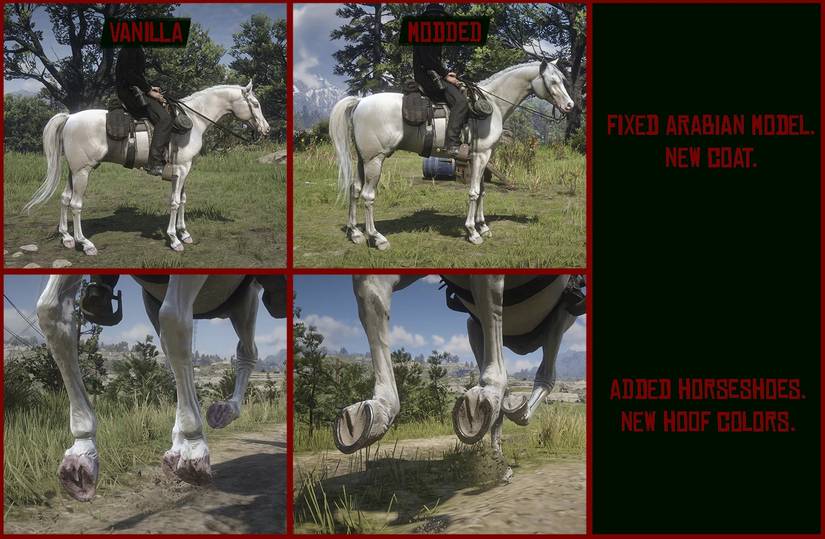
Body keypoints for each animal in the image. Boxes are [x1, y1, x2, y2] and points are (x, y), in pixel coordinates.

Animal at [23, 82, 270, 255]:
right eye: (256, 104)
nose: (266, 130)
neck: (193, 121)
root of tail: (70, 117)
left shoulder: (185, 170)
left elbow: (183, 200)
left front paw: (184, 233)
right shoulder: (181, 169)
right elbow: (174, 202)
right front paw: (174, 239)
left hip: (74, 172)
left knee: (64, 199)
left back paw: (66, 237)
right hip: (83, 172)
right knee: (75, 204)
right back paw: (85, 243)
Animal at [36, 274, 286, 501]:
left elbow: (173, 320)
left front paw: (194, 448)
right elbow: (50, 312)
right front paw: (81, 453)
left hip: (245, 297)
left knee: (246, 350)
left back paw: (225, 411)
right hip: (153, 298)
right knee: (177, 351)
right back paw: (178, 445)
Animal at [329, 60, 575, 250]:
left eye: (562, 79)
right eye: (553, 81)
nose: (570, 106)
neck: (493, 104)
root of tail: (360, 102)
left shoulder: (482, 157)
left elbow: (482, 191)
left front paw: (483, 227)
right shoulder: (481, 155)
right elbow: (474, 192)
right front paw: (472, 232)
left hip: (363, 160)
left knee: (354, 190)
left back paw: (355, 233)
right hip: (375, 161)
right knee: (368, 196)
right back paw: (377, 238)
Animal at [333, 274, 584, 480]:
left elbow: (490, 298)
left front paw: (482, 397)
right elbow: (371, 291)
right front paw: (378, 409)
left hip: (562, 315)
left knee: (546, 374)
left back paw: (513, 410)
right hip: (474, 326)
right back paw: (499, 457)